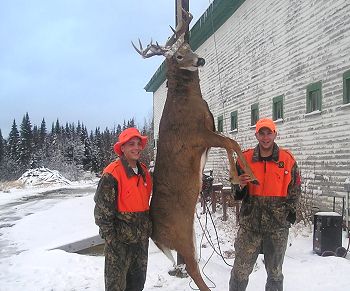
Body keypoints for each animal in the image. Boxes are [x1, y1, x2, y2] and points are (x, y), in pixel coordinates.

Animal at [132, 9, 258, 291]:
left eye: (189, 47)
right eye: (177, 56)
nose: (200, 60)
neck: (188, 101)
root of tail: (156, 237)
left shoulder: (209, 133)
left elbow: (230, 143)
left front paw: (239, 177)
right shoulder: (197, 136)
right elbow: (232, 142)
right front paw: (248, 176)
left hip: (189, 233)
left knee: (194, 267)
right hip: (182, 236)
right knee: (191, 267)